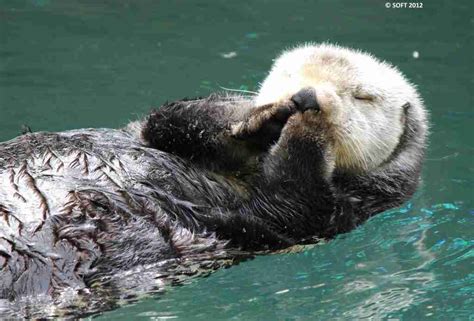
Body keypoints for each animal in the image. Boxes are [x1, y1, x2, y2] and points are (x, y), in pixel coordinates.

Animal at [0, 43, 430, 316]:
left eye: (363, 97)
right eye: (289, 73)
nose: (306, 96)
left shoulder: (335, 213)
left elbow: (296, 203)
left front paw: (308, 129)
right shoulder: (151, 129)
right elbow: (173, 120)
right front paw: (259, 117)